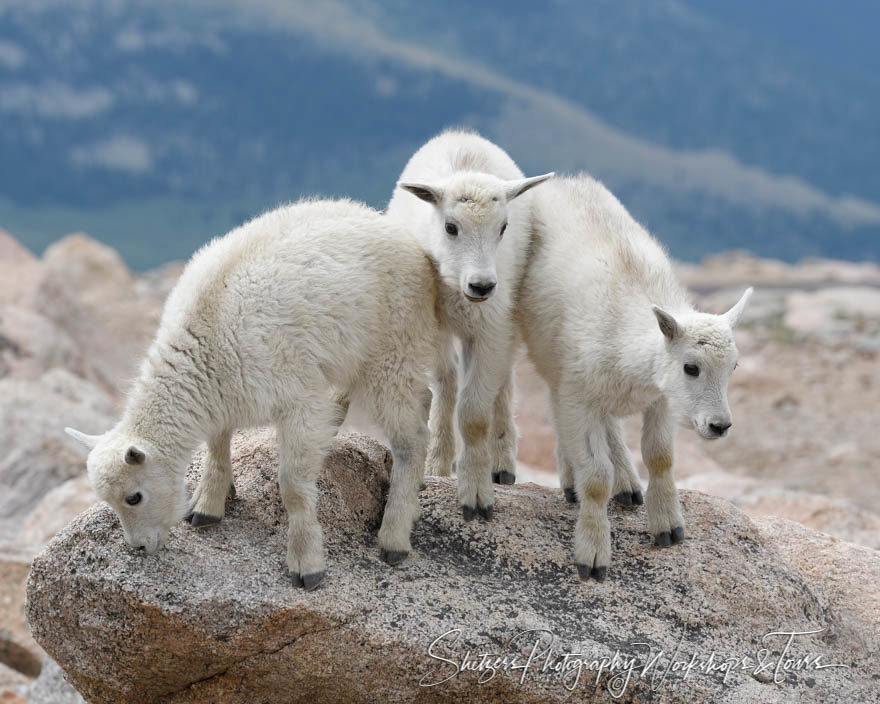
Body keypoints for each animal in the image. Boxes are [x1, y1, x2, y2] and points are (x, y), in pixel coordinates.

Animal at [65, 198, 444, 588]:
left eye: (134, 497)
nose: (139, 547)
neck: (208, 340)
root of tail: (406, 238)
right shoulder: (223, 393)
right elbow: (217, 445)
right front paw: (207, 506)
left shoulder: (296, 396)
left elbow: (292, 485)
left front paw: (306, 564)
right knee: (416, 399)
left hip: (393, 349)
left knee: (412, 437)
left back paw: (395, 537)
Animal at [520, 176, 752, 584]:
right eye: (691, 367)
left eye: (734, 367)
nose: (719, 425)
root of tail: (565, 179)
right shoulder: (579, 393)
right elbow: (596, 477)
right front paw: (593, 555)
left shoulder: (661, 400)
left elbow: (660, 457)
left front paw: (669, 528)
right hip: (552, 359)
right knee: (559, 411)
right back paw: (575, 481)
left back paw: (627, 486)